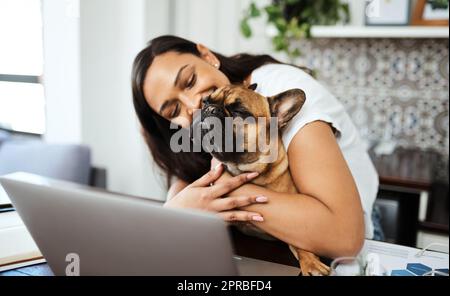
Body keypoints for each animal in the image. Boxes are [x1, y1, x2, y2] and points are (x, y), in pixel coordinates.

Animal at [200, 82, 330, 276]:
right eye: (205, 101)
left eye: (239, 111)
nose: (209, 109)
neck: (245, 170)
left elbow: (302, 244)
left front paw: (311, 263)